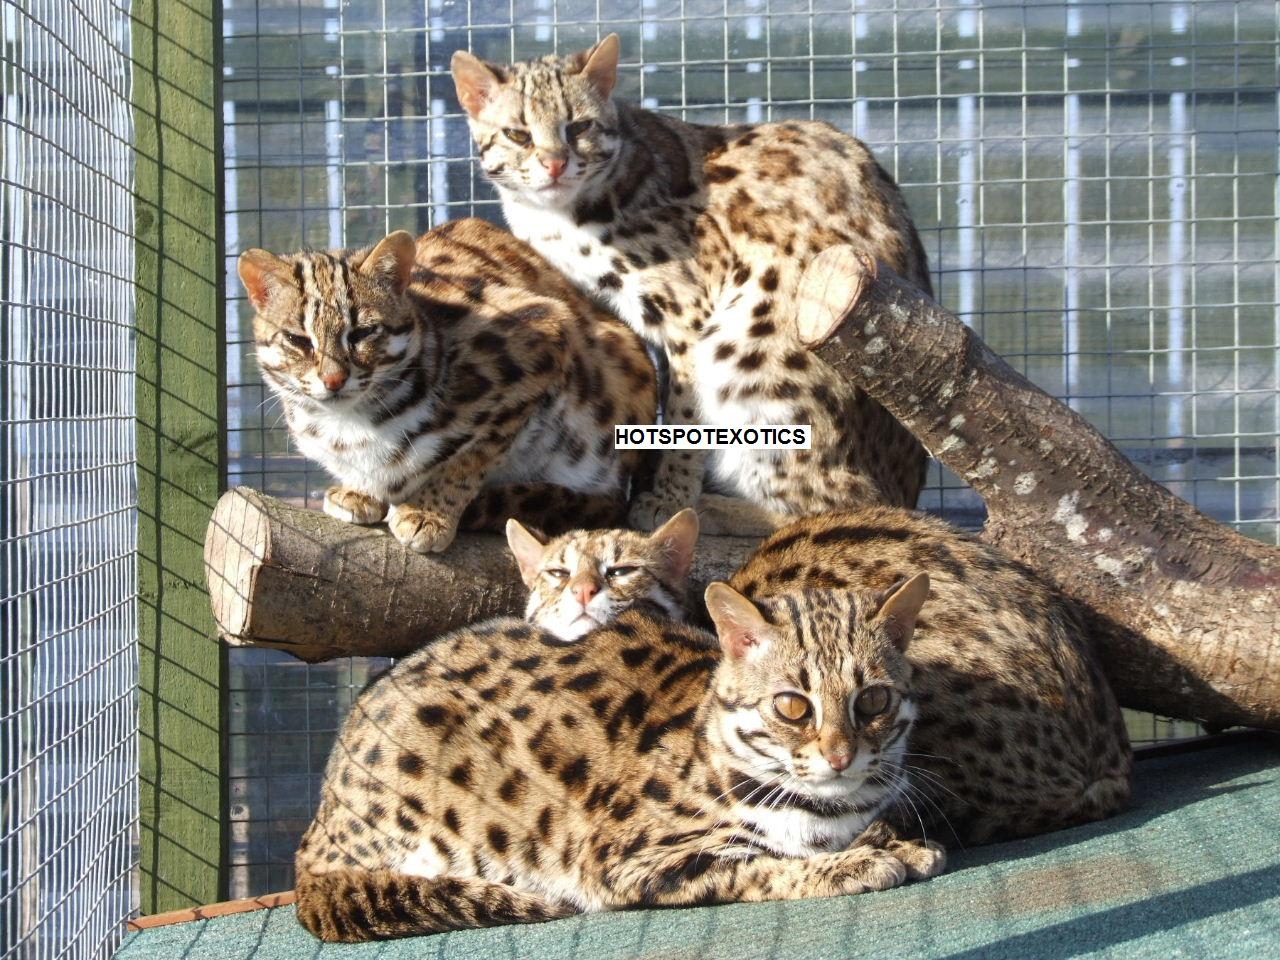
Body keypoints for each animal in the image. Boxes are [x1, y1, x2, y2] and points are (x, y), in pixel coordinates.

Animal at [238, 213, 660, 552]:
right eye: (297, 339)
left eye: (363, 333)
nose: (333, 379)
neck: (349, 422)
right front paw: (359, 490)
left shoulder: (544, 331)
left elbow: (472, 456)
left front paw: (428, 513)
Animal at [294, 576, 947, 942]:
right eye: (792, 705)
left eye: (874, 700)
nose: (841, 755)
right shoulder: (628, 859)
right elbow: (764, 865)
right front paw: (856, 862)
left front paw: (896, 842)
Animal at [458, 35, 931, 535]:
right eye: (518, 134)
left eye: (579, 126)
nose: (554, 164)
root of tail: (909, 491)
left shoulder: (691, 313)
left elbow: (687, 417)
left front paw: (671, 498)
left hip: (749, 340)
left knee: (845, 502)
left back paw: (717, 508)